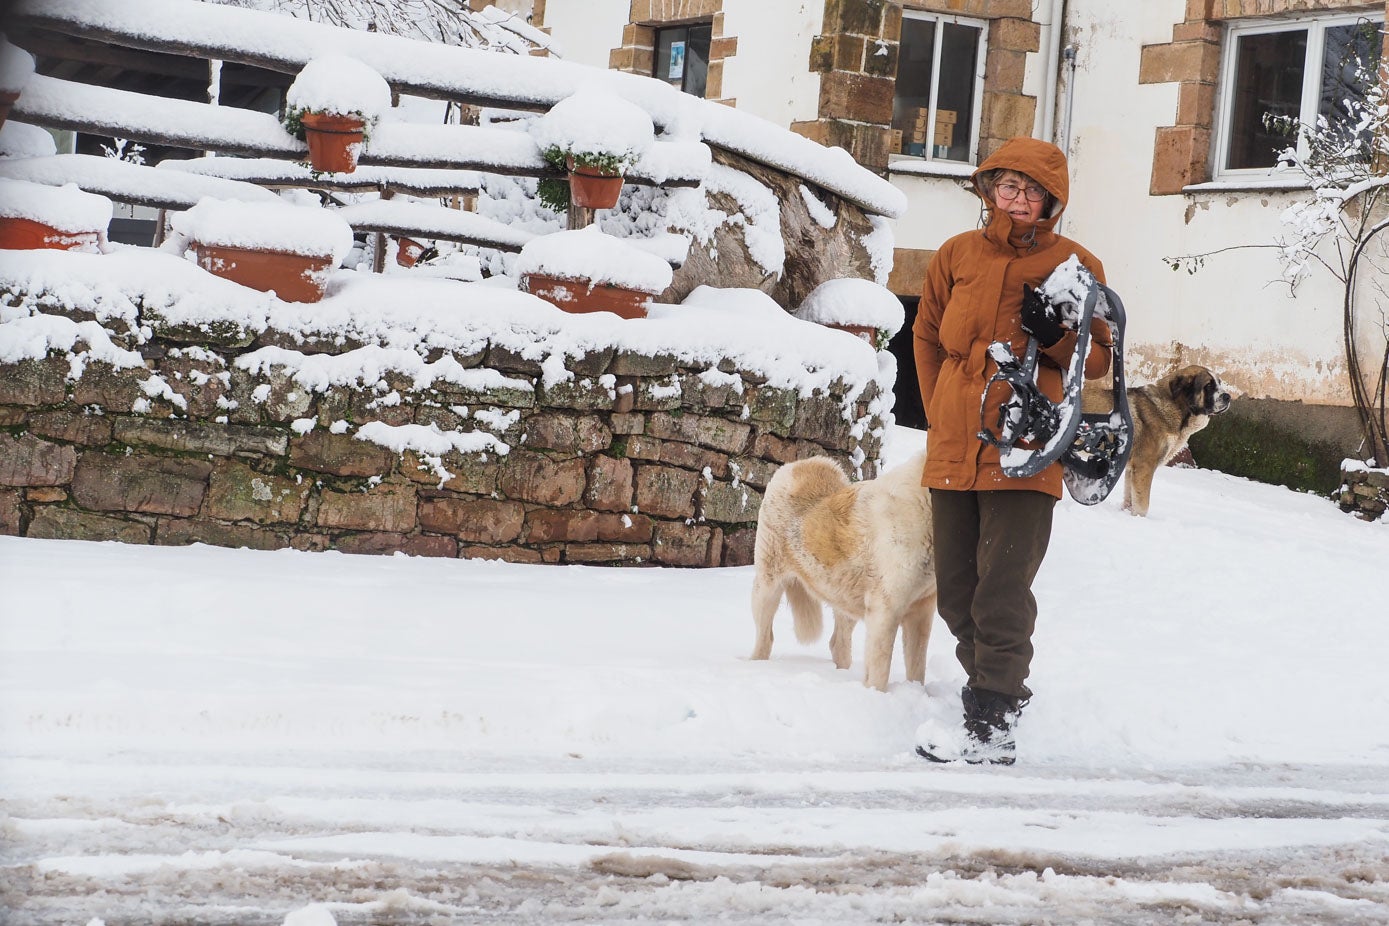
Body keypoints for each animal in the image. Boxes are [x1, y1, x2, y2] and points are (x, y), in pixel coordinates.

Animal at [750, 452, 933, 691]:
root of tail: (801, 464)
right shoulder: (885, 611)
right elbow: (880, 670)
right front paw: (877, 695)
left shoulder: (921, 614)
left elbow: (918, 669)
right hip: (768, 587)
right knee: (765, 640)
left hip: (844, 597)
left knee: (838, 644)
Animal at [1083, 363, 1238, 522]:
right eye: (1208, 386)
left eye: (1219, 383)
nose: (1228, 397)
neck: (1176, 407)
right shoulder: (1144, 466)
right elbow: (1142, 504)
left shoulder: (1131, 469)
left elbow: (1130, 499)